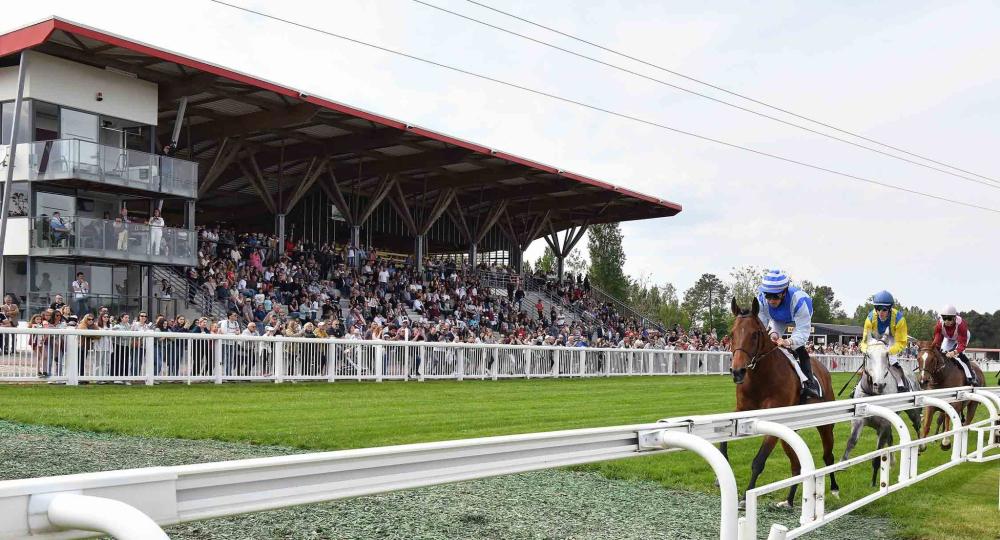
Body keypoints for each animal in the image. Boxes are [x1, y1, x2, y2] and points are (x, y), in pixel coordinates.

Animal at [720, 298, 836, 508]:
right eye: (731, 334)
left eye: (755, 334)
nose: (737, 371)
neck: (761, 378)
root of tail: (823, 369)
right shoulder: (742, 410)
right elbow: (723, 440)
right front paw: (720, 477)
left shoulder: (774, 418)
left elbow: (758, 461)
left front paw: (745, 498)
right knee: (796, 465)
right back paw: (788, 501)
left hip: (825, 424)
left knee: (828, 456)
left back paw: (834, 488)